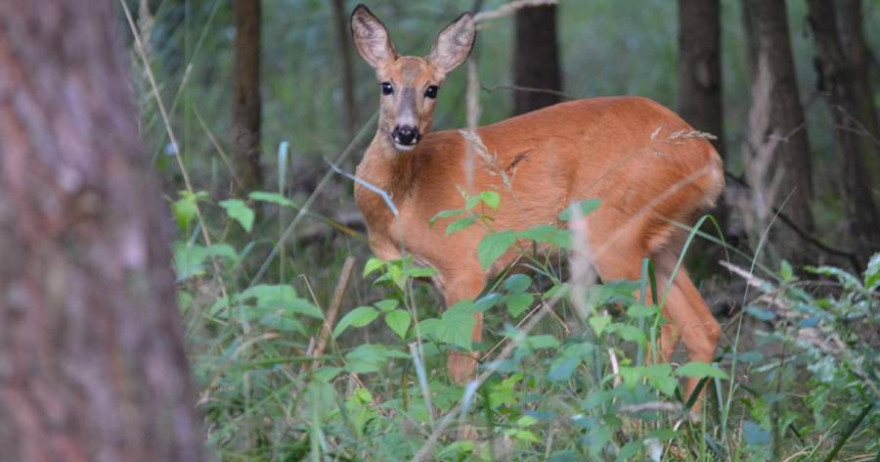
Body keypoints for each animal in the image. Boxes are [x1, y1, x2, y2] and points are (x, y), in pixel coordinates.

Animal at [348, 3, 720, 408]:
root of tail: (709, 158)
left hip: (613, 232)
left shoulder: (465, 266)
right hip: (664, 240)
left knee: (658, 325)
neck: (404, 200)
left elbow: (461, 368)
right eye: (386, 85)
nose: (406, 132)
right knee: (702, 326)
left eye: (432, 89)